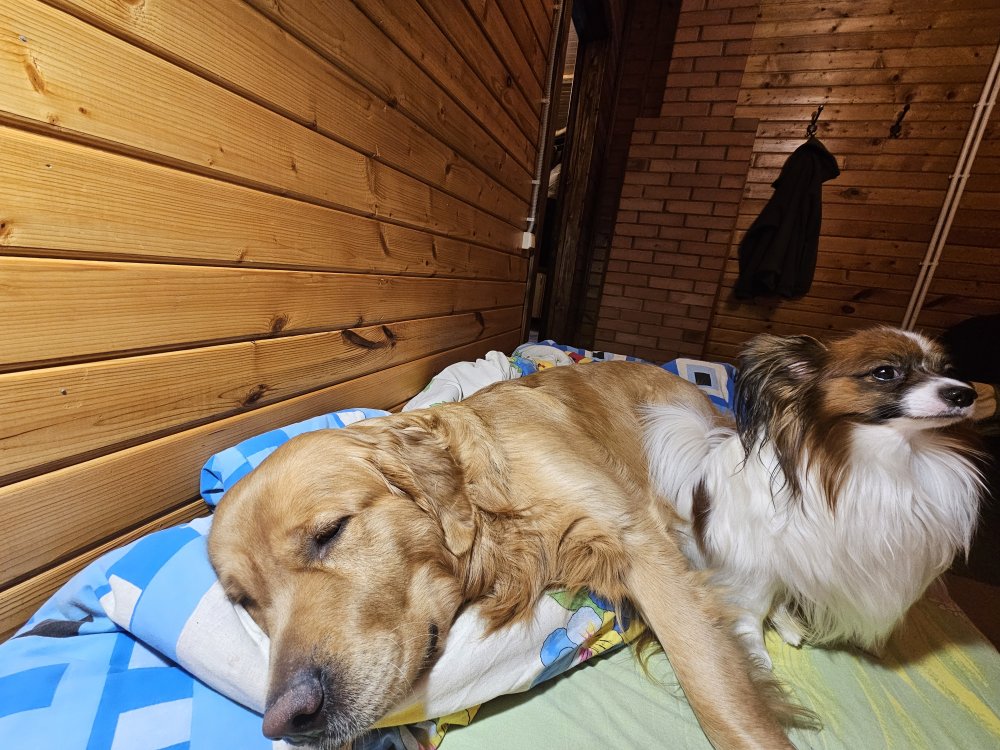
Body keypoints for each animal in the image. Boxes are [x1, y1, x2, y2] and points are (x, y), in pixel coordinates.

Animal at [208, 362, 801, 750]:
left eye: (330, 532)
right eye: (245, 601)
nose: (286, 721)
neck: (495, 501)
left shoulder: (638, 543)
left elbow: (720, 699)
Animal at [644, 326, 983, 668]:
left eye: (946, 370)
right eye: (885, 372)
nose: (966, 394)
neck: (888, 459)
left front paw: (873, 645)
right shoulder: (754, 560)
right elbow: (751, 612)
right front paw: (756, 656)